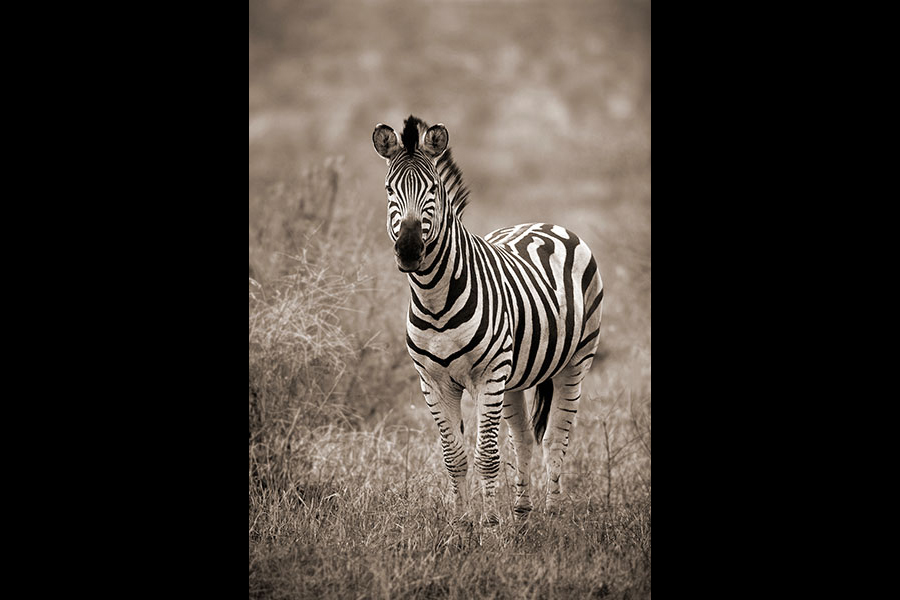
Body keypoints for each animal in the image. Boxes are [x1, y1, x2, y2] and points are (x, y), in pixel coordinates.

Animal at [372, 115, 604, 524]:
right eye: (389, 190)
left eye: (433, 188)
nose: (410, 251)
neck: (435, 298)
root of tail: (546, 224)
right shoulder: (432, 382)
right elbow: (454, 457)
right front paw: (461, 523)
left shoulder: (488, 375)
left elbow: (487, 456)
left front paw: (491, 524)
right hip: (513, 377)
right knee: (525, 437)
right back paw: (523, 512)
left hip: (575, 361)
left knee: (555, 437)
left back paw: (554, 514)